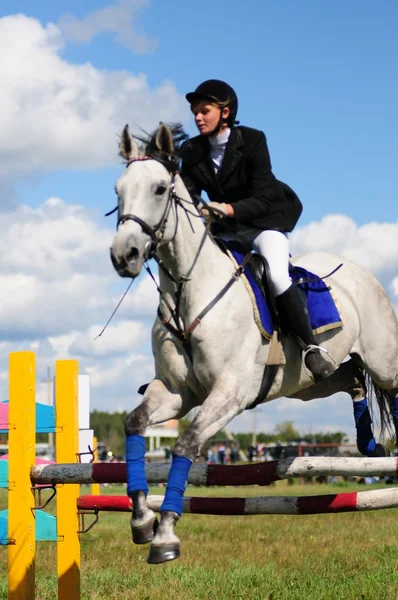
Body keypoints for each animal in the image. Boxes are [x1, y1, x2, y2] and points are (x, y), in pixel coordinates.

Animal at [109, 122, 398, 564]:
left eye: (159, 189)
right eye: (118, 191)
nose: (123, 255)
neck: (189, 292)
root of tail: (361, 272)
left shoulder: (230, 392)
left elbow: (187, 444)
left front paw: (165, 535)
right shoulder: (176, 392)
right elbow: (134, 425)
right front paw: (142, 520)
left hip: (384, 362)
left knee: (387, 385)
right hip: (309, 385)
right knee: (349, 377)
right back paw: (368, 445)